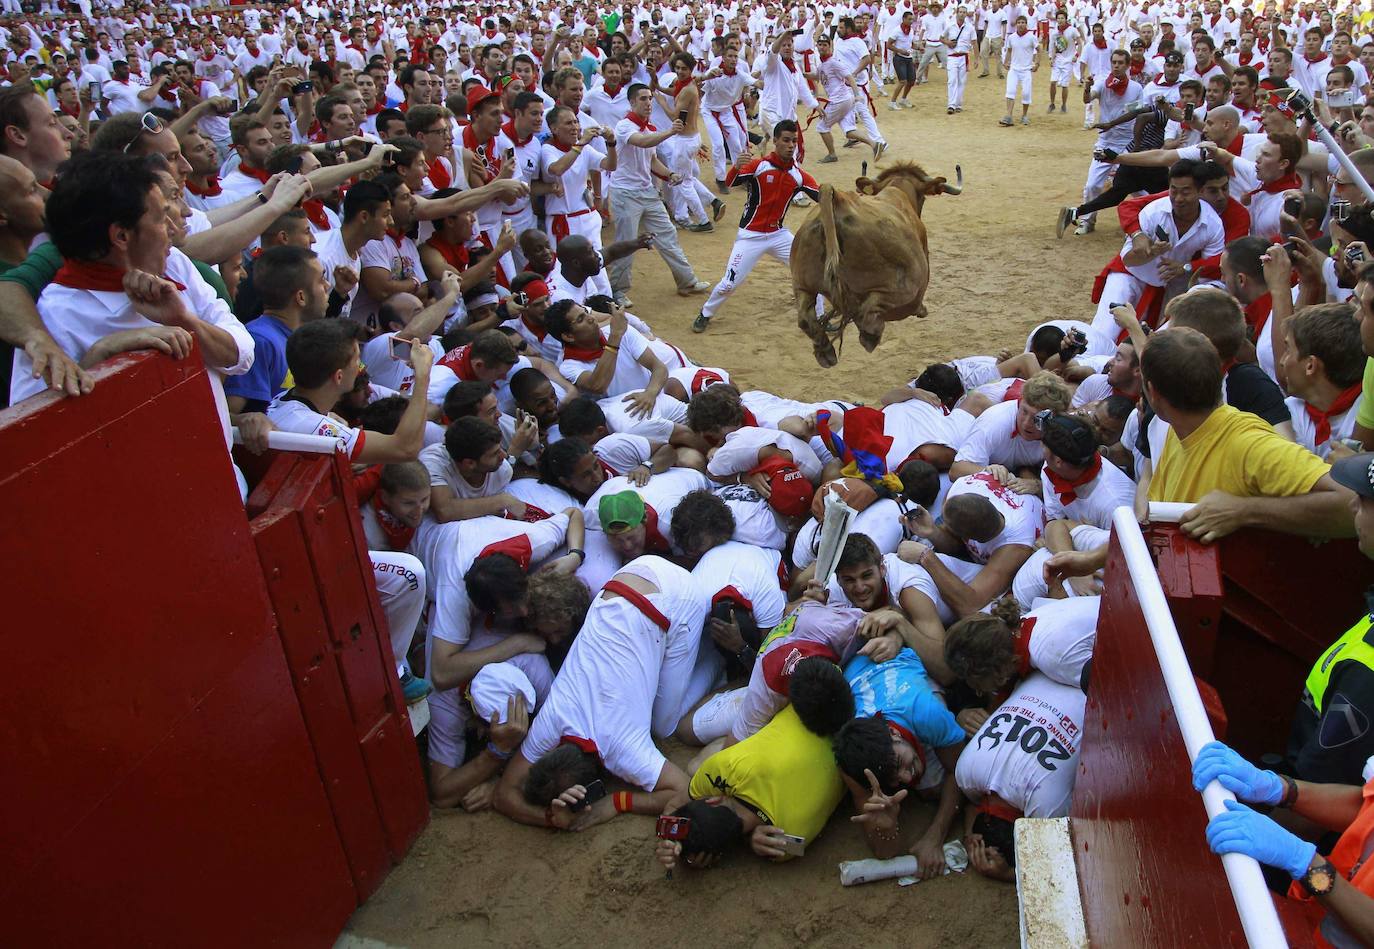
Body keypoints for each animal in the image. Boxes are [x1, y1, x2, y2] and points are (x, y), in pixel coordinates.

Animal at [791, 159, 961, 368]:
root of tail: (839, 201)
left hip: (802, 284)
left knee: (806, 318)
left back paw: (826, 353)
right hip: (905, 287)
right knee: (871, 312)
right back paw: (870, 337)